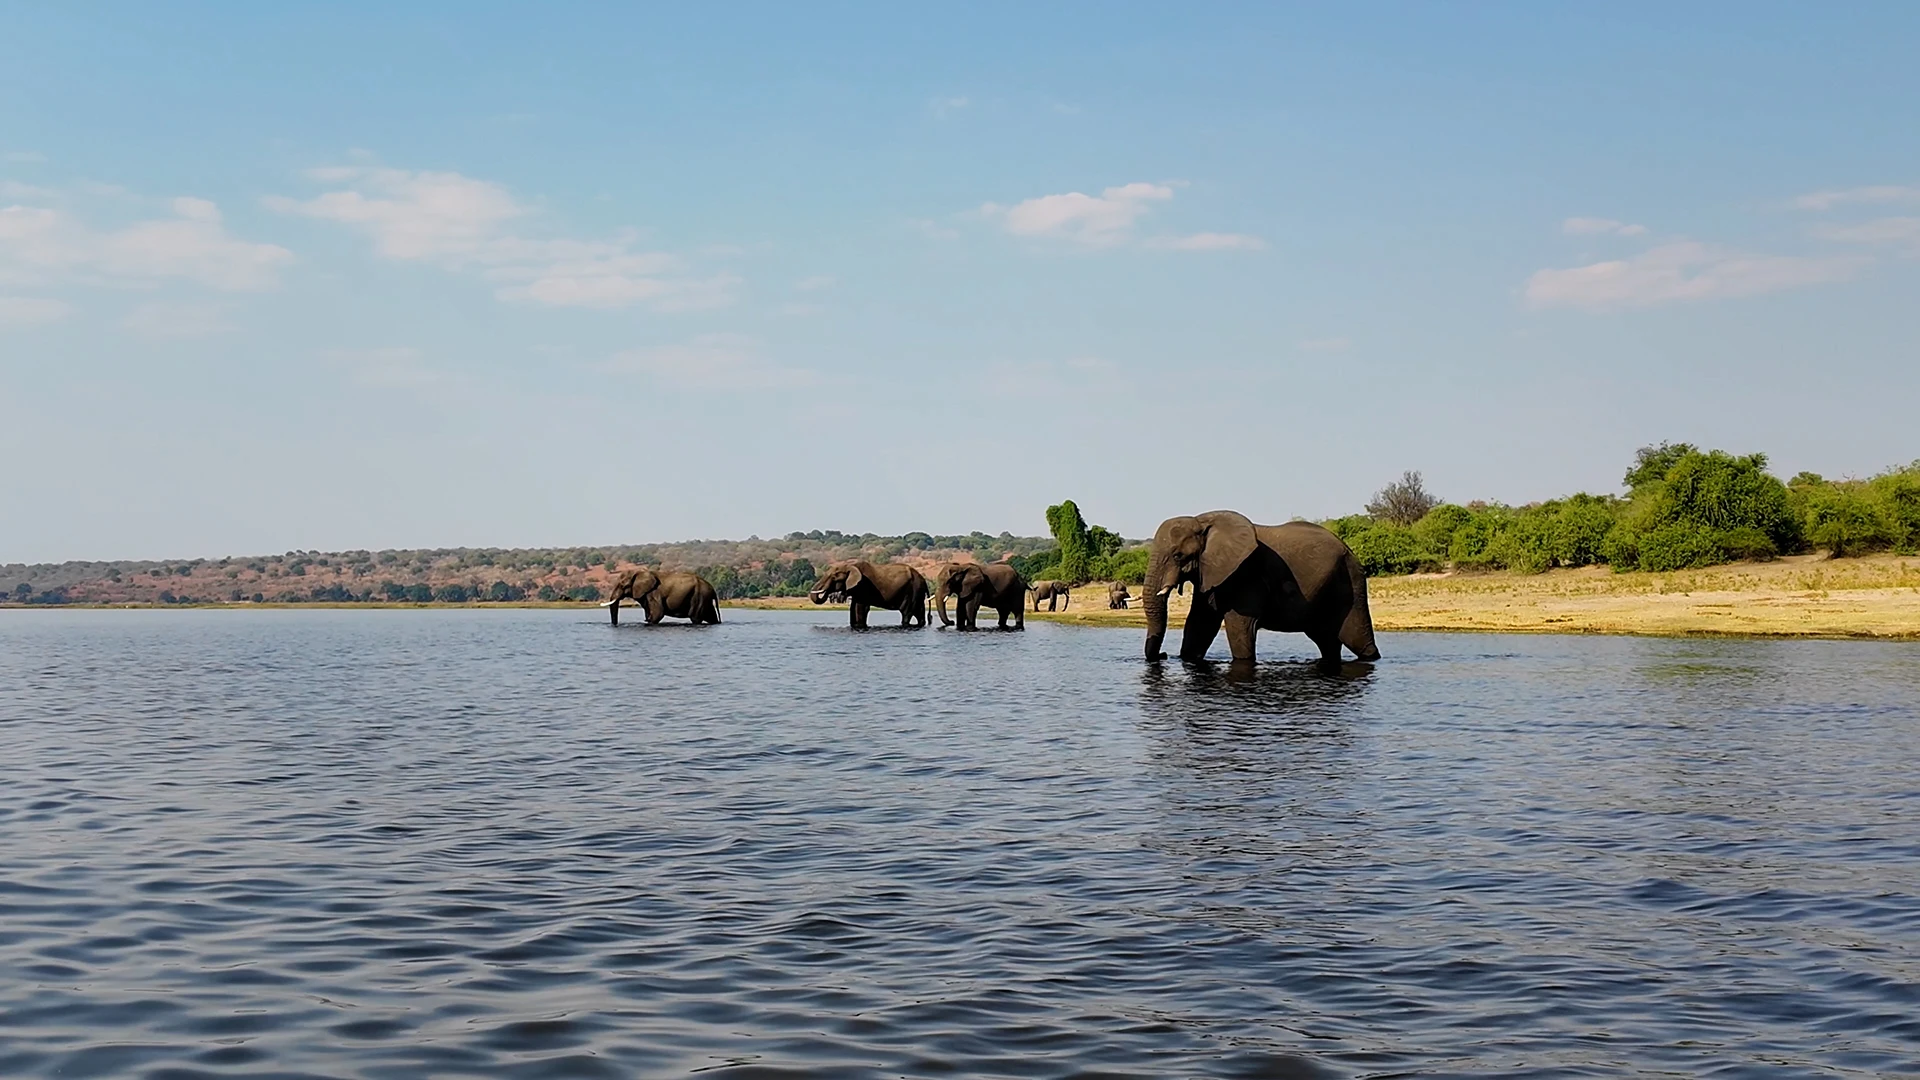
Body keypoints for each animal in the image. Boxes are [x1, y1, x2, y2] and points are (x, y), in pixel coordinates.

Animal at [1143, 511, 1379, 672]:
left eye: (1178, 556)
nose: (1163, 655)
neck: (1201, 520)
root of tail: (1350, 550)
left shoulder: (1247, 573)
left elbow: (1240, 625)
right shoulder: (1209, 571)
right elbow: (1199, 623)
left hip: (1350, 583)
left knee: (1357, 639)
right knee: (1327, 641)